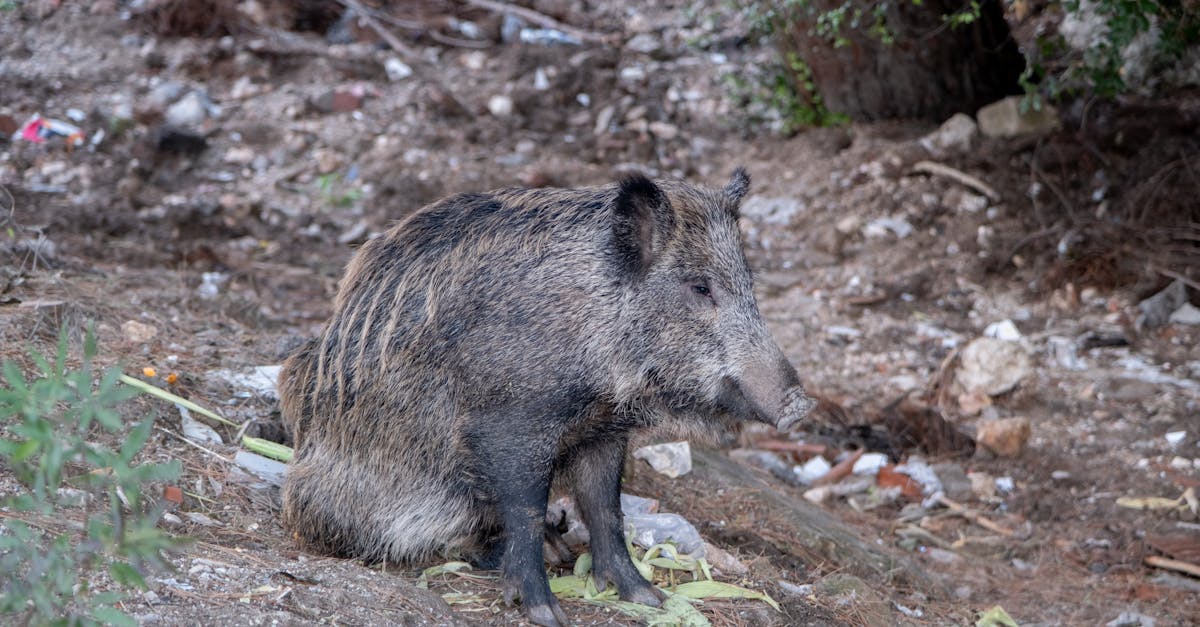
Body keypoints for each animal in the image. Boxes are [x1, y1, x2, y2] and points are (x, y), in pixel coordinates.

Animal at [278, 170, 815, 627]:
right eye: (700, 287)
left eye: (750, 287)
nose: (799, 405)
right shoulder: (510, 425)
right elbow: (527, 511)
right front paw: (546, 613)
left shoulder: (604, 430)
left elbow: (605, 509)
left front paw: (648, 598)